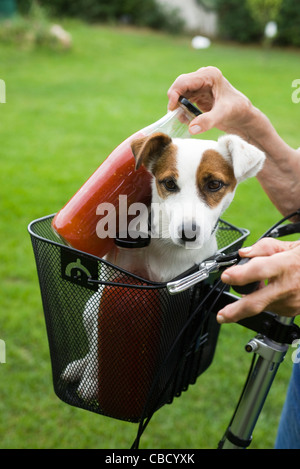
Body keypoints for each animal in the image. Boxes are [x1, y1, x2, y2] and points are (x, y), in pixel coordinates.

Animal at [61, 132, 264, 398]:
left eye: (214, 184)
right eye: (169, 183)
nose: (188, 232)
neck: (168, 245)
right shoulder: (111, 288)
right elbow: (99, 343)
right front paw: (93, 380)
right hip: (90, 307)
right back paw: (80, 366)